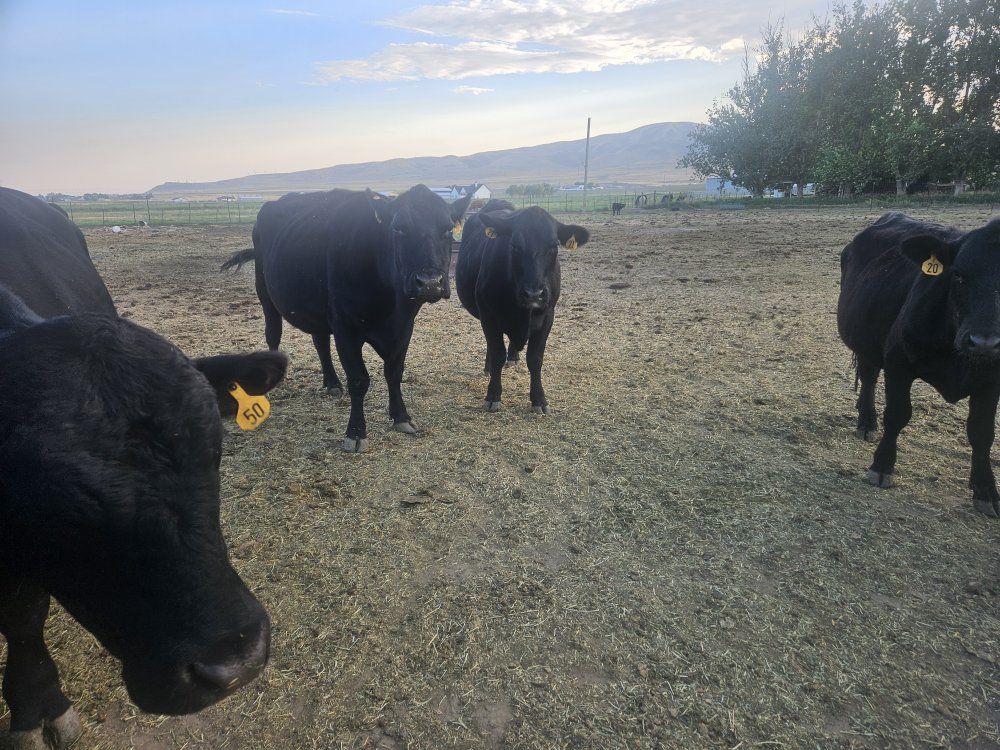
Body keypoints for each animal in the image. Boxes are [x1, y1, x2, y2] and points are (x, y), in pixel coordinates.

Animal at [222, 185, 472, 452]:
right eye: (398, 228)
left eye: (448, 229)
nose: (430, 283)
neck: (389, 302)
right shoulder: (345, 329)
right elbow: (359, 380)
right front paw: (356, 432)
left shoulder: (404, 327)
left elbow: (394, 372)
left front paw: (401, 417)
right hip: (266, 294)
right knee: (273, 334)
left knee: (320, 342)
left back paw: (332, 383)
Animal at [455, 200, 589, 414]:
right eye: (514, 245)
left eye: (554, 246)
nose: (534, 293)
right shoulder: (488, 315)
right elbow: (497, 353)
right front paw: (493, 395)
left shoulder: (547, 316)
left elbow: (535, 359)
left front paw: (539, 400)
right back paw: (489, 367)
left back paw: (513, 357)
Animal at [838, 211, 1000, 518]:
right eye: (958, 274)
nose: (984, 342)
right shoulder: (897, 360)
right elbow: (897, 414)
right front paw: (881, 466)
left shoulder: (991, 381)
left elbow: (982, 432)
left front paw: (986, 491)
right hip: (866, 341)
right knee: (869, 378)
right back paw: (867, 422)